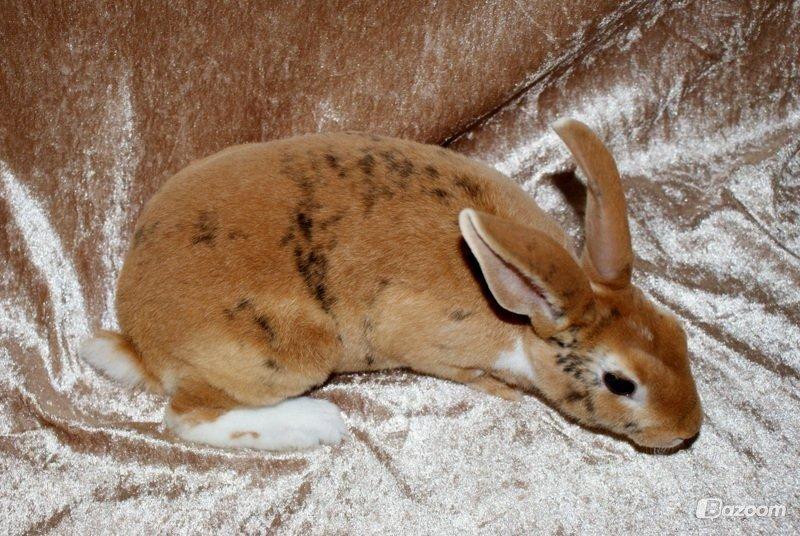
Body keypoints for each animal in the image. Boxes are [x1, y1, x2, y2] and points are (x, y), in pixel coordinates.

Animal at [79, 119, 700, 450]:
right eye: (620, 383)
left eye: (680, 335)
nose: (688, 431)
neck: (521, 322)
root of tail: (143, 339)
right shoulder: (436, 349)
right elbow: (470, 375)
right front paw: (504, 393)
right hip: (292, 351)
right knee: (186, 416)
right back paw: (320, 422)